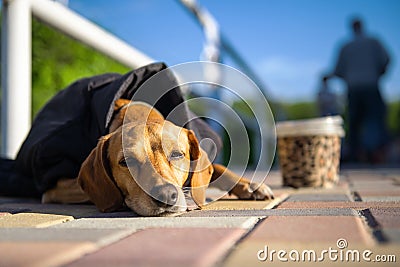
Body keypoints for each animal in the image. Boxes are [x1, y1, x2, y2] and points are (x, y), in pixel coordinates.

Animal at [43, 99, 276, 217]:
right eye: (126, 162)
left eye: (177, 154)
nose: (165, 196)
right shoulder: (55, 188)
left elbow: (217, 168)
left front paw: (250, 185)